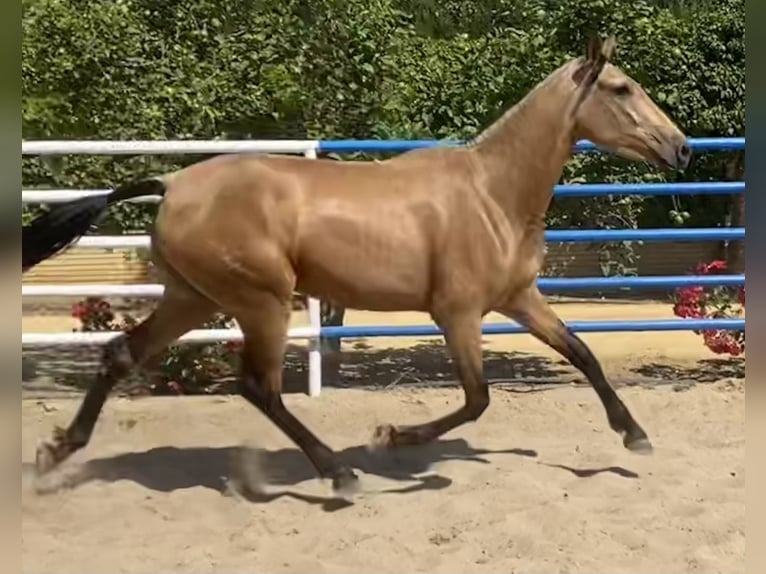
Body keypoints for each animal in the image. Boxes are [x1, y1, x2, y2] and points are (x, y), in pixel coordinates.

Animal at [21, 36, 692, 498]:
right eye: (622, 88)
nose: (682, 147)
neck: (492, 193)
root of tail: (172, 183)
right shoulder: (457, 313)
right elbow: (478, 398)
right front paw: (391, 438)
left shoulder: (519, 298)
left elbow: (582, 353)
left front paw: (634, 435)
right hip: (260, 301)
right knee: (258, 387)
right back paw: (339, 473)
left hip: (194, 297)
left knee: (122, 355)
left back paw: (56, 452)